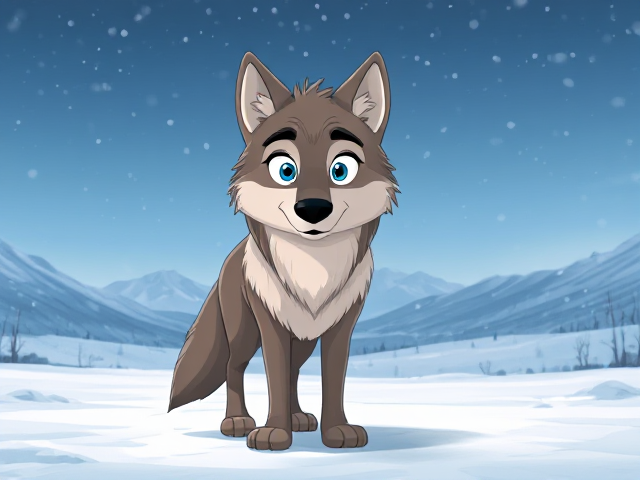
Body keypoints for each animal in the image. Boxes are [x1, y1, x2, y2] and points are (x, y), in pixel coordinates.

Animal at [167, 51, 399, 451]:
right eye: (285, 170)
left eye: (341, 169)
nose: (313, 208)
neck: (313, 265)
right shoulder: (270, 323)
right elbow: (273, 374)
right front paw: (273, 433)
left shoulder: (341, 326)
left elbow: (332, 381)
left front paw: (337, 431)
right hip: (245, 333)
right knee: (234, 367)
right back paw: (237, 421)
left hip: (303, 339)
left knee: (293, 372)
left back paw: (298, 417)